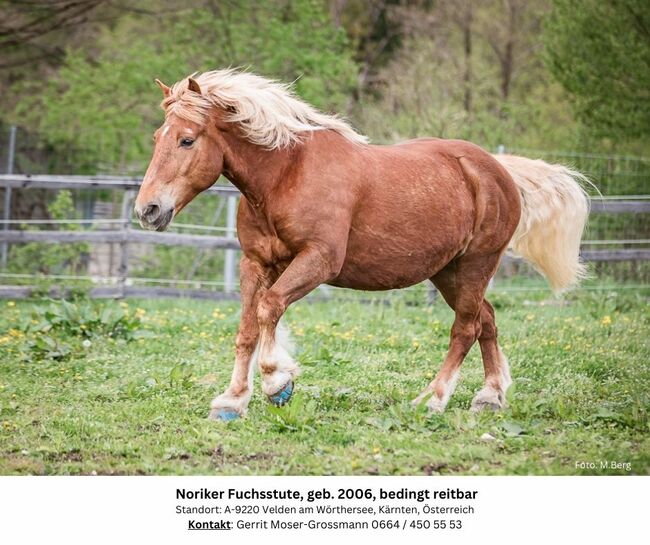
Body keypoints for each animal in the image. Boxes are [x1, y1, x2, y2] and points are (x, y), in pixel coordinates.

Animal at [135, 70, 588, 418]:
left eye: (187, 140)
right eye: (157, 136)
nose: (148, 210)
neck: (286, 175)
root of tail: (498, 170)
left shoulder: (319, 260)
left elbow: (269, 308)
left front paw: (278, 383)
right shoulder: (255, 263)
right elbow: (247, 328)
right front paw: (232, 401)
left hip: (479, 262)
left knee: (465, 327)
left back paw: (433, 400)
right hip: (449, 271)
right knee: (486, 320)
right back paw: (489, 397)